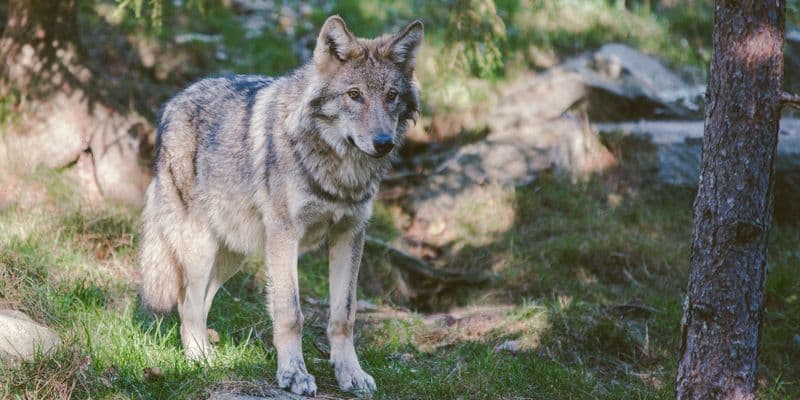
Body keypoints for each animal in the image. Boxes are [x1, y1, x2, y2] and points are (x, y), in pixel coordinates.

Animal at [137, 16, 422, 396]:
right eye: (354, 95)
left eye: (391, 96)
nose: (384, 143)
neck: (339, 171)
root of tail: (172, 103)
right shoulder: (286, 236)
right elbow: (291, 313)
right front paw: (293, 374)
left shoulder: (350, 234)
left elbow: (343, 315)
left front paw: (350, 374)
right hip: (201, 248)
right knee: (188, 303)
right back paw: (199, 360)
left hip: (234, 254)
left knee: (199, 301)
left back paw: (210, 355)